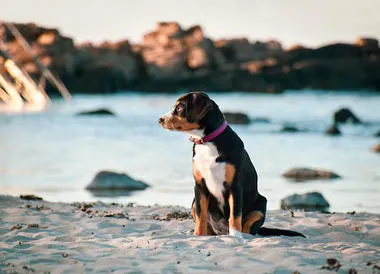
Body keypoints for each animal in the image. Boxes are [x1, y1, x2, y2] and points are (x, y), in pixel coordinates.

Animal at [159, 92, 304, 238]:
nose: (160, 120)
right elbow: (201, 216)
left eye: (180, 107)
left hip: (261, 205)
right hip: (194, 202)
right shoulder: (199, 185)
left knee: (248, 226)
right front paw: (198, 236)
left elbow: (235, 216)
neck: (207, 142)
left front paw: (235, 237)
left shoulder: (235, 186)